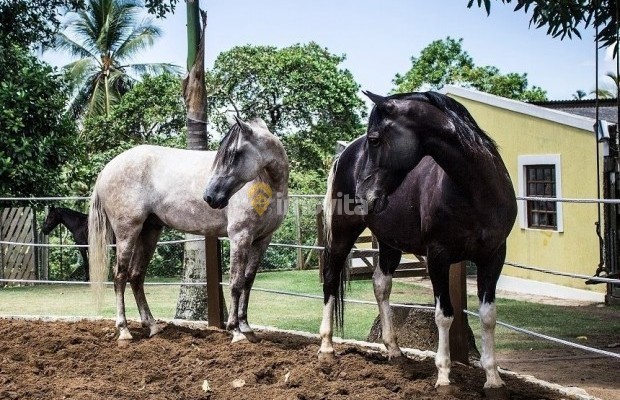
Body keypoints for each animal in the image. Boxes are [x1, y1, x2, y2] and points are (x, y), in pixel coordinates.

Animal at [88, 117, 290, 342]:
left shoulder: (262, 240)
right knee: (120, 276)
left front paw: (246, 327)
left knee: (136, 276)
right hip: (127, 232)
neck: (265, 185)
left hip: (149, 231)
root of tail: (107, 168)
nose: (210, 196)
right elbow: (236, 283)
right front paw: (236, 331)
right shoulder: (240, 237)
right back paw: (124, 330)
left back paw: (152, 326)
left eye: (234, 154)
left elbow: (248, 281)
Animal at [320, 91, 520, 396]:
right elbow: (444, 315)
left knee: (381, 285)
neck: (477, 191)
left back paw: (394, 351)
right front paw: (444, 377)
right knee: (330, 279)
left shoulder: (493, 256)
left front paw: (493, 379)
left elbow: (488, 315)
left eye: (374, 139)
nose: (363, 194)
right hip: (344, 232)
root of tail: (344, 154)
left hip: (389, 241)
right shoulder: (438, 257)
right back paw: (326, 347)